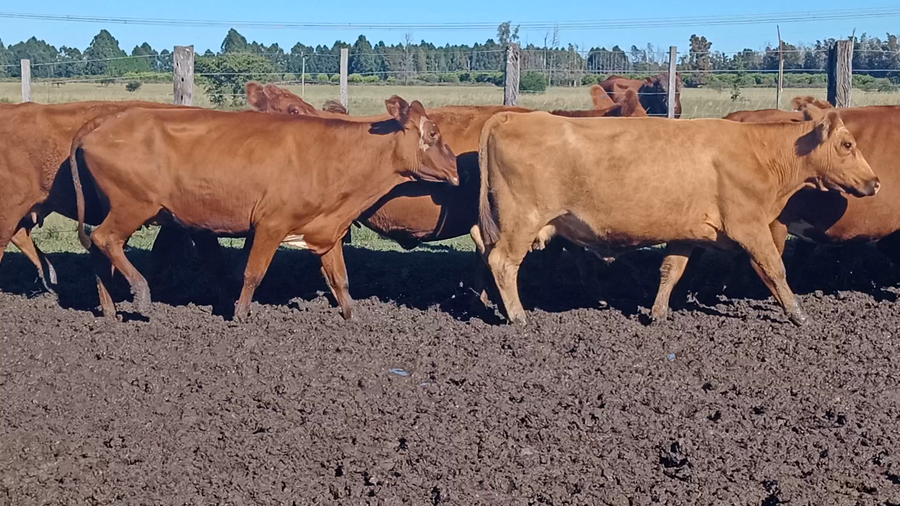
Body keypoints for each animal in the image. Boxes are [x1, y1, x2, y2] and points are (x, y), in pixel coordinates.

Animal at [69, 96, 458, 322]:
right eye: (433, 134)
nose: (457, 170)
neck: (334, 154)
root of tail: (104, 122)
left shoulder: (327, 230)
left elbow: (340, 279)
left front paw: (353, 317)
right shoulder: (271, 225)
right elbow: (253, 274)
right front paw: (241, 316)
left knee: (99, 249)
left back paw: (109, 310)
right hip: (132, 206)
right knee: (105, 239)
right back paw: (141, 293)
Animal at [474, 106, 879, 326]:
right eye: (847, 144)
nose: (875, 182)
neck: (761, 152)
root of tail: (510, 117)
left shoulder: (686, 233)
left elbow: (671, 270)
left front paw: (657, 311)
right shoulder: (749, 226)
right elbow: (775, 269)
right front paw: (798, 314)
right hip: (522, 220)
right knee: (503, 262)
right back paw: (518, 316)